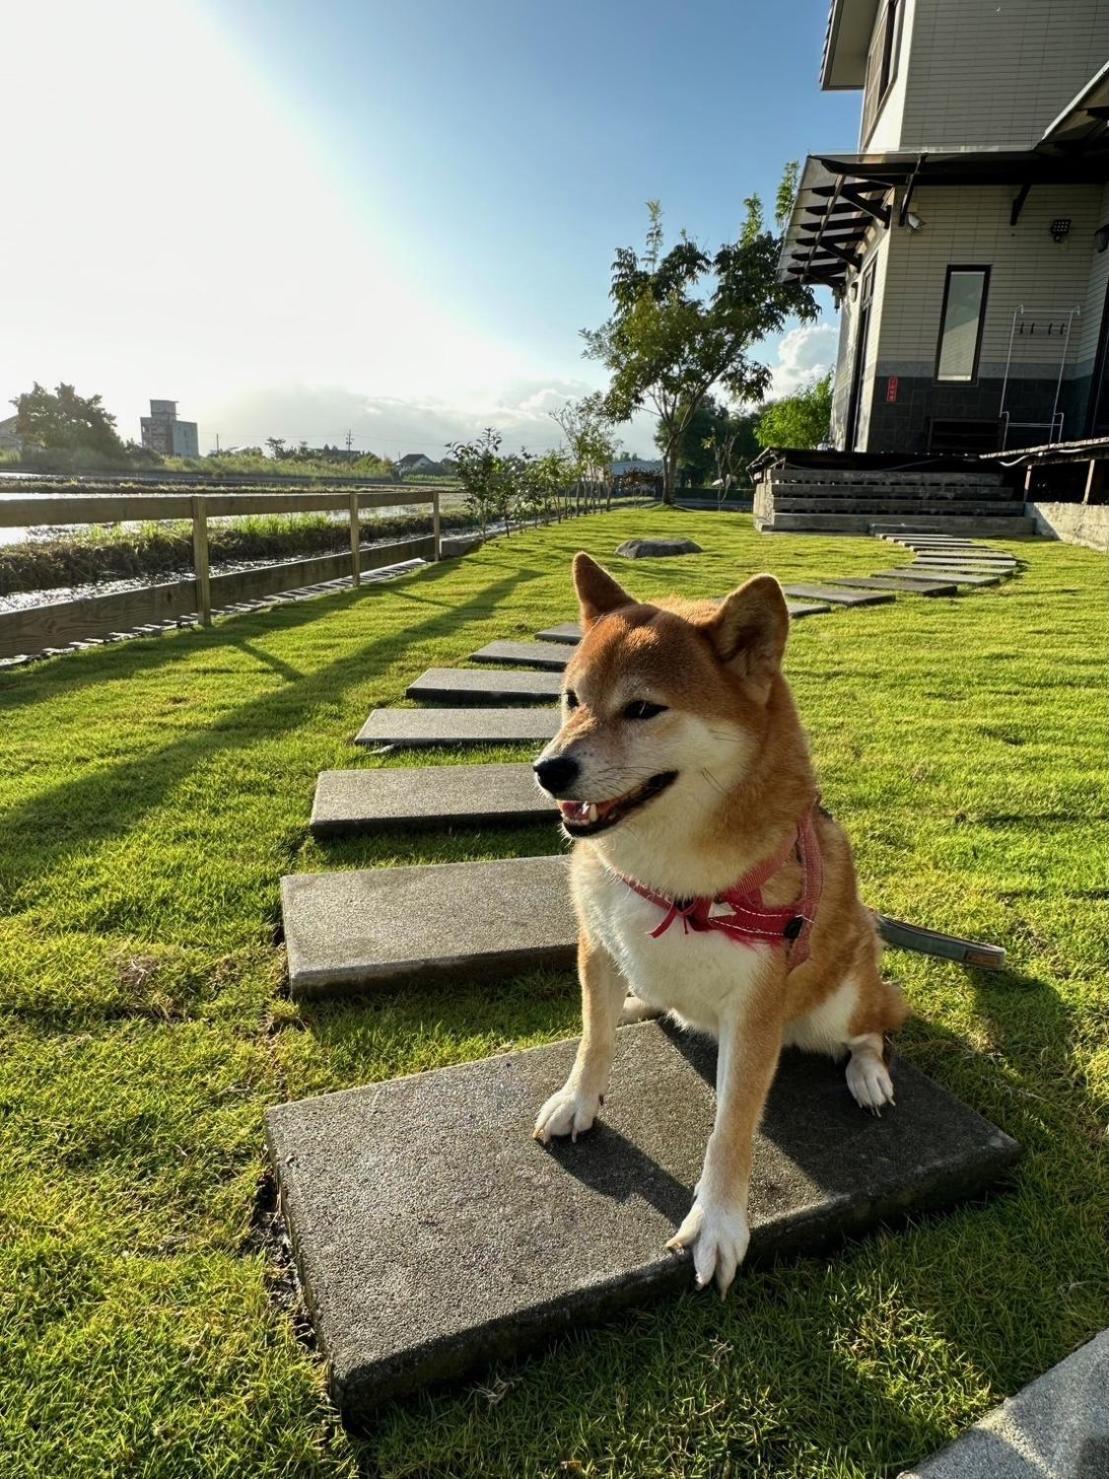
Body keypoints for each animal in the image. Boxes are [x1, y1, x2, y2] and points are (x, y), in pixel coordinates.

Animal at [535, 556, 904, 1295]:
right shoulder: (597, 945)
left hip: (838, 1001)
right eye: (570, 698)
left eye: (643, 708)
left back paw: (867, 1074)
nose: (547, 768)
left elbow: (731, 1125)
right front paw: (577, 1098)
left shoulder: (756, 1005)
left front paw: (718, 1223)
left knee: (875, 1026)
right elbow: (594, 1037)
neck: (672, 876)